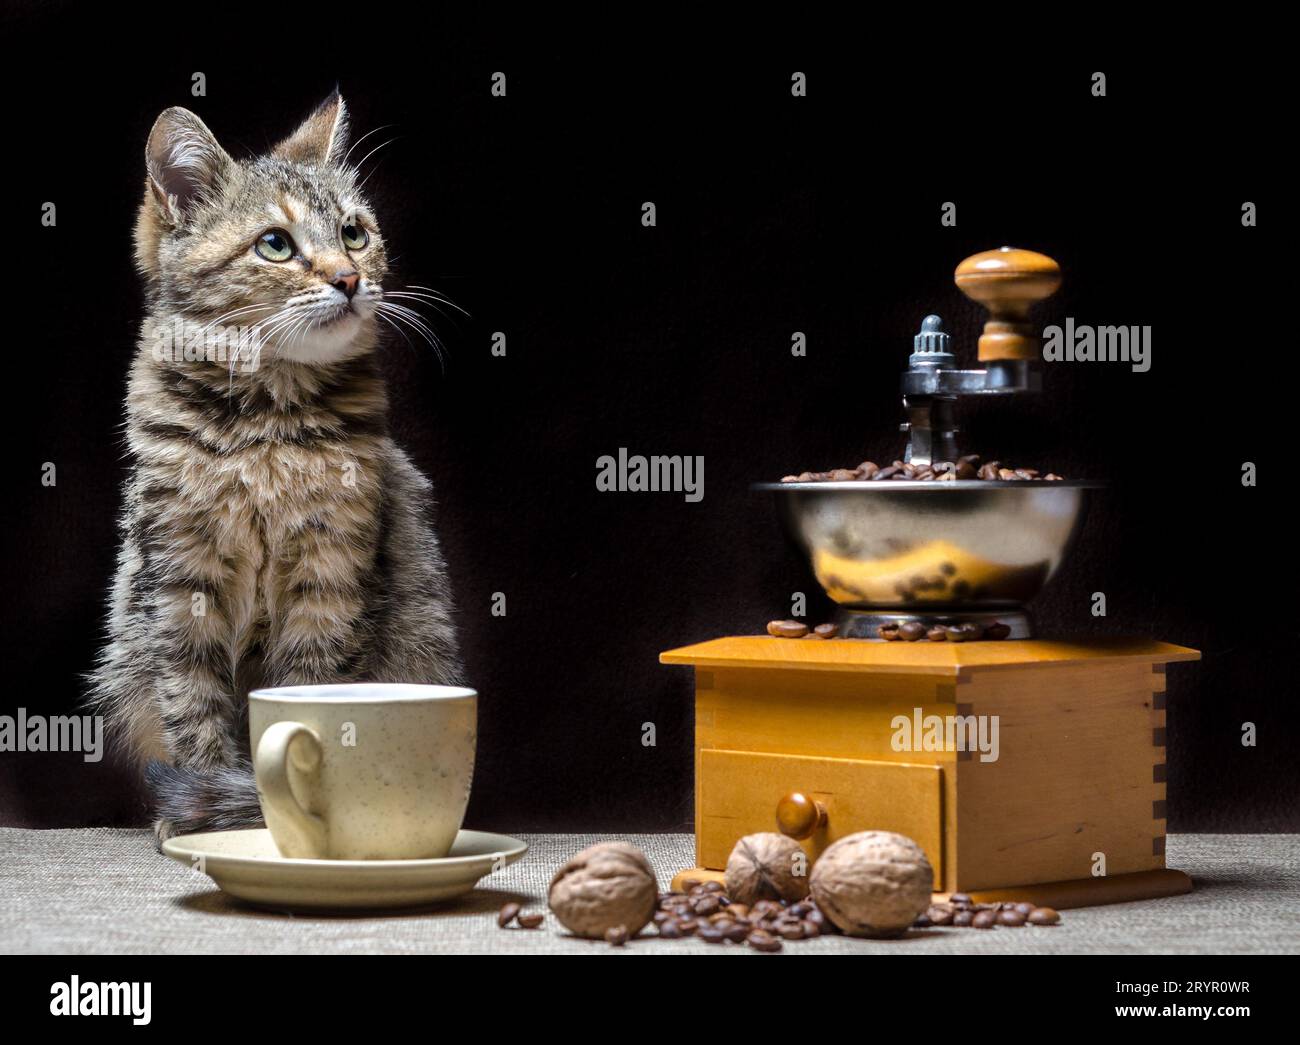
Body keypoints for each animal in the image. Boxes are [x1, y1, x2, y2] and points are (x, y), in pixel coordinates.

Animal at [89, 89, 462, 842]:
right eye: (275, 244)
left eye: (353, 233)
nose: (350, 278)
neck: (266, 429)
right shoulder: (180, 581)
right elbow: (193, 704)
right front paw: (206, 810)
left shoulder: (332, 577)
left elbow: (307, 695)